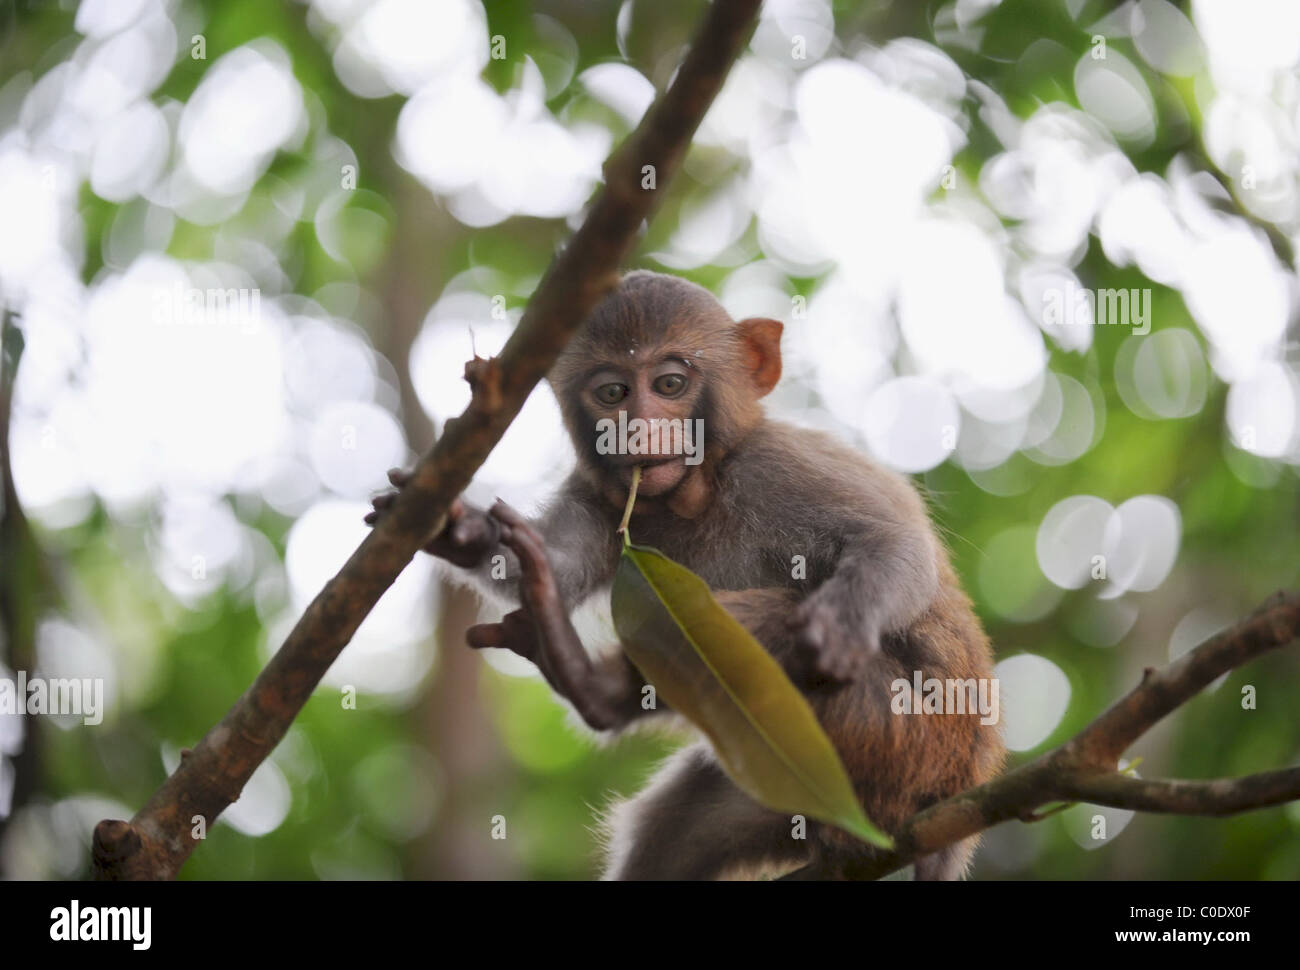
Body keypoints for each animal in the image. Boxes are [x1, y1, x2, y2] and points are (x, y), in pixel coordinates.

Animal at [367, 270, 1004, 880]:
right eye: (613, 392)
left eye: (669, 384)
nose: (639, 427)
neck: (697, 493)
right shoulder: (601, 495)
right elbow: (552, 565)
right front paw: (463, 531)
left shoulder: (776, 465)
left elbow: (894, 545)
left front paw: (841, 623)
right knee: (673, 834)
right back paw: (594, 691)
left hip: (902, 733)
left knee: (749, 621)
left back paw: (591, 682)